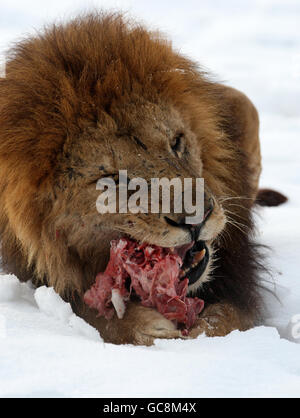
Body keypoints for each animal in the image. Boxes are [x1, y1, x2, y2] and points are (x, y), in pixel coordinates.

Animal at [0, 13, 286, 346]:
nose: (197, 219)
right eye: (113, 179)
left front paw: (207, 331)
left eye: (176, 143)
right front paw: (146, 327)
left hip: (242, 103)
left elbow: (228, 316)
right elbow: (94, 313)